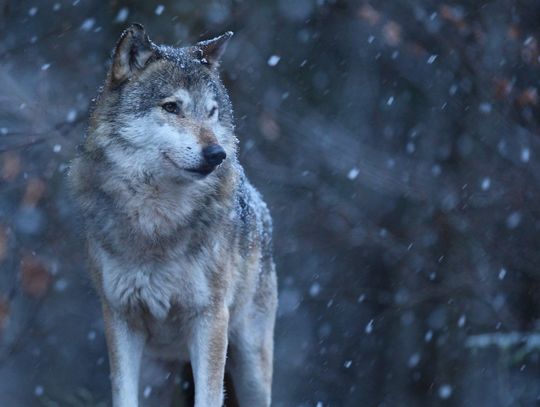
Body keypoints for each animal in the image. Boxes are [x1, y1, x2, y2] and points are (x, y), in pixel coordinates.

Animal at [69, 24, 276, 407]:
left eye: (211, 112)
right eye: (172, 107)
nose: (217, 154)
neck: (157, 219)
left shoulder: (209, 317)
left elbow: (209, 398)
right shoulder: (120, 317)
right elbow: (122, 395)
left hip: (251, 367)